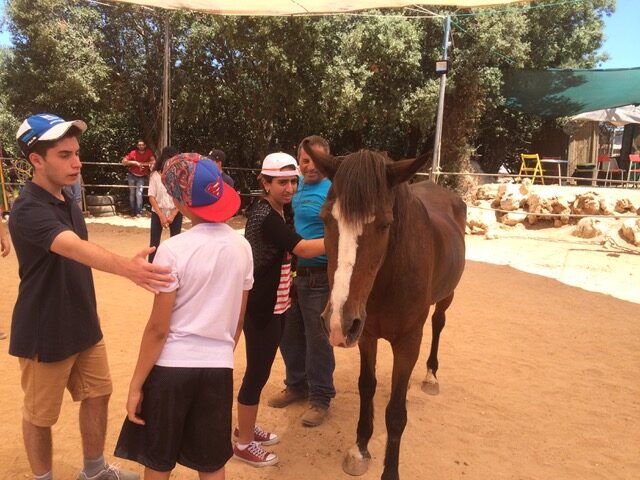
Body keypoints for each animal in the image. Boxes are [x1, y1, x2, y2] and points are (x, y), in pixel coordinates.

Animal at [302, 142, 468, 480]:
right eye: (325, 219)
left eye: (384, 225)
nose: (336, 323)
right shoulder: (365, 335)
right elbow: (367, 387)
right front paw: (359, 449)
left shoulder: (407, 343)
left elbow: (395, 413)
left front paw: (389, 471)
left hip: (447, 297)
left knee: (439, 323)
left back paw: (431, 376)